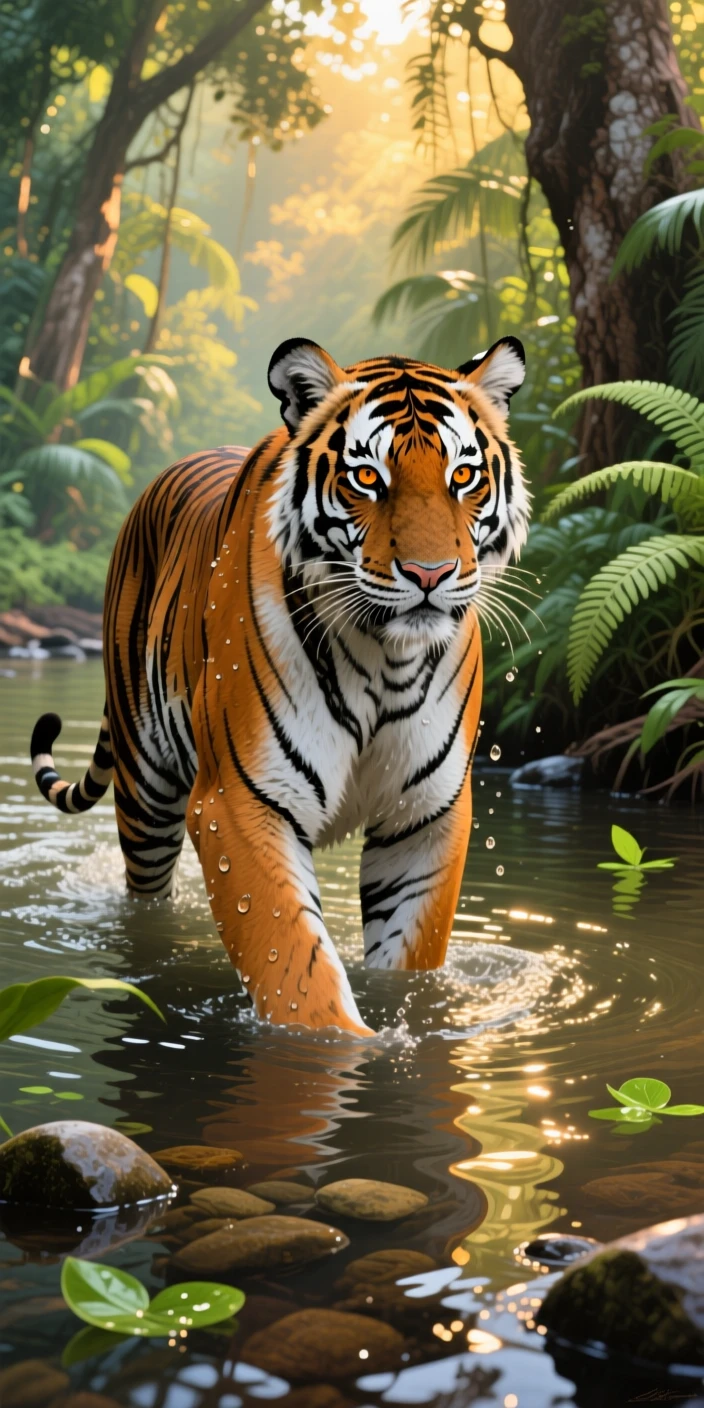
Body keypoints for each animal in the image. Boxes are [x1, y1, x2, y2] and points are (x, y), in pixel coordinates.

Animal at [30, 335, 529, 1037]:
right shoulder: (242, 801)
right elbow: (296, 968)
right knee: (146, 899)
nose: (430, 574)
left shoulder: (425, 814)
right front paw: (347, 1048)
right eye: (367, 478)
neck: (385, 657)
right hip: (146, 792)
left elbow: (408, 963)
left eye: (463, 476)